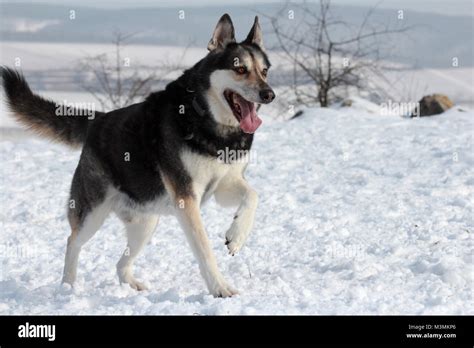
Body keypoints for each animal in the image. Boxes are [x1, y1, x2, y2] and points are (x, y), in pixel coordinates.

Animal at [0, 13, 274, 296]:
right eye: (240, 69)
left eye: (264, 71)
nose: (269, 94)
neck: (209, 119)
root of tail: (98, 120)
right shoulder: (187, 197)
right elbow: (204, 248)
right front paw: (220, 288)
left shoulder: (224, 185)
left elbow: (253, 195)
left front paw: (237, 236)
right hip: (93, 214)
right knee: (72, 242)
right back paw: (67, 287)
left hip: (145, 224)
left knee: (120, 263)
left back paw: (131, 284)